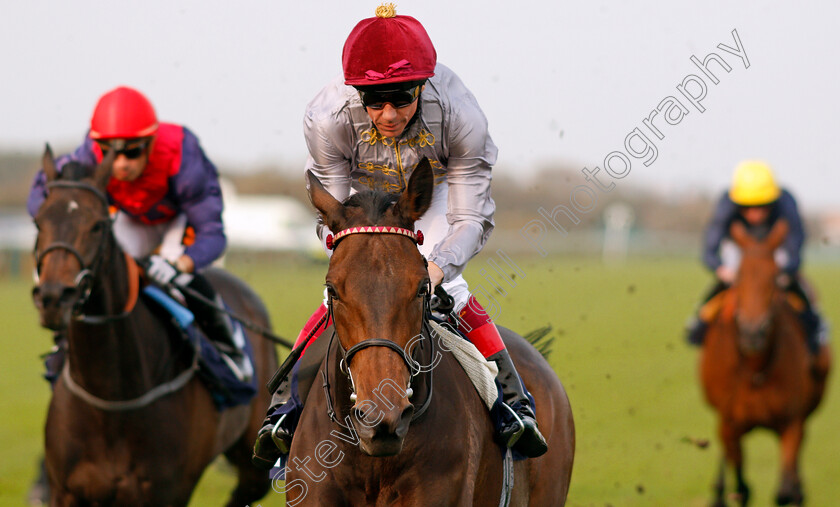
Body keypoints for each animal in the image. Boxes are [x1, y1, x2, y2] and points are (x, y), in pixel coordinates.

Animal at [31, 145, 278, 506]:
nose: (53, 297)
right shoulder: (65, 492)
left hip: (254, 462)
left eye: (98, 225)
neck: (111, 400)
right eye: (38, 222)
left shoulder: (166, 492)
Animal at [700, 220, 832, 506]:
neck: (754, 368)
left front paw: (792, 490)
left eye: (774, 278)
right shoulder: (730, 423)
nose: (752, 333)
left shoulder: (792, 423)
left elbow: (784, 491)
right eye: (739, 276)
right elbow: (741, 487)